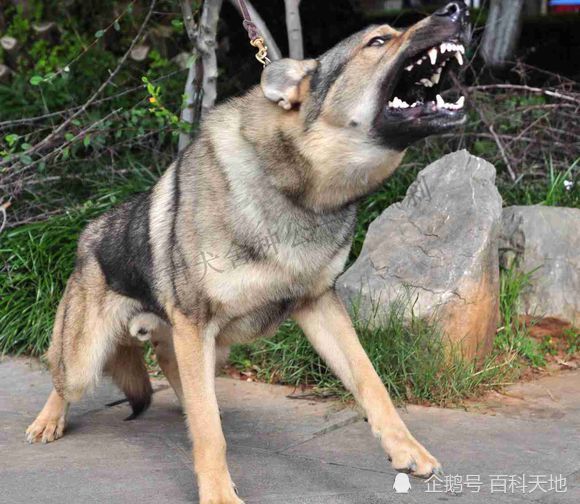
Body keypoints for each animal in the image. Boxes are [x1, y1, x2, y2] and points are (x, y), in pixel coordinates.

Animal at [26, 2, 472, 500]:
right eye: (378, 41)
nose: (458, 9)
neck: (300, 193)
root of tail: (87, 237)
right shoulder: (196, 322)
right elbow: (208, 433)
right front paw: (219, 493)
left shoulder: (317, 305)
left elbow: (370, 382)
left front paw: (407, 450)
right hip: (87, 358)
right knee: (63, 378)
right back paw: (48, 422)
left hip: (211, 346)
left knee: (170, 365)